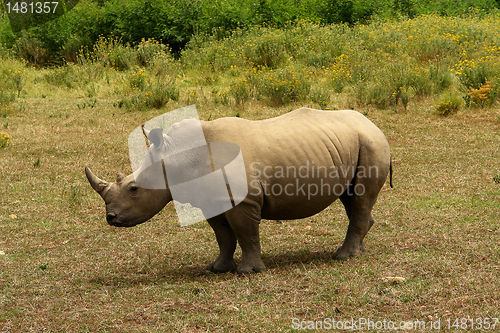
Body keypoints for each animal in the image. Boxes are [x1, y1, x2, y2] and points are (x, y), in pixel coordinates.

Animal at [85, 107, 390, 274]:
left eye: (134, 189)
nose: (110, 218)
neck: (179, 156)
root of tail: (373, 124)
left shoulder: (242, 200)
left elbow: (245, 233)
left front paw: (249, 272)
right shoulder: (212, 199)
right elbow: (223, 236)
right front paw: (217, 268)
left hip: (371, 143)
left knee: (360, 199)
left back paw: (343, 256)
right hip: (353, 144)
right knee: (352, 199)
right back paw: (357, 250)